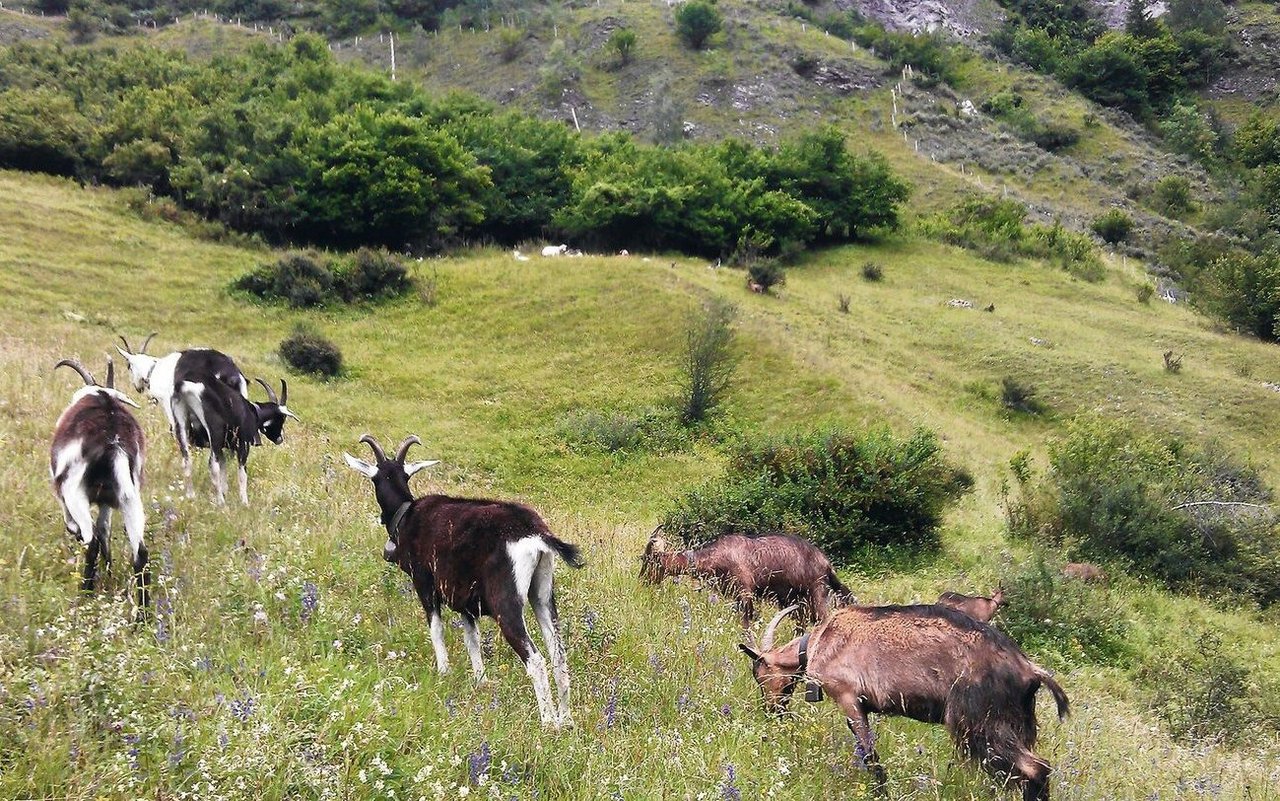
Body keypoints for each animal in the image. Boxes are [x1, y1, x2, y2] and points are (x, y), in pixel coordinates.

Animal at [50, 358, 149, 614]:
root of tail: (114, 443)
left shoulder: (64, 493)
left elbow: (79, 527)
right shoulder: (107, 501)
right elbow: (105, 529)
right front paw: (109, 569)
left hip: (75, 494)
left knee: (91, 539)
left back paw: (85, 593)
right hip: (130, 498)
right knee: (140, 553)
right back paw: (143, 617)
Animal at [345, 432, 586, 726]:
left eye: (374, 478)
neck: (407, 514)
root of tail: (535, 533)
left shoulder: (425, 584)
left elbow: (436, 629)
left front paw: (444, 672)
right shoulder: (465, 603)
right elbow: (472, 640)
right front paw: (480, 681)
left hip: (506, 604)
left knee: (536, 660)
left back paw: (548, 723)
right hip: (542, 594)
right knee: (558, 653)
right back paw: (566, 719)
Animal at [637, 527, 855, 632]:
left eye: (648, 560)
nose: (642, 580)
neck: (719, 555)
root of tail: (826, 564)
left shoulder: (745, 591)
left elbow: (748, 619)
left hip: (816, 593)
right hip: (795, 601)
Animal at [742, 601, 1070, 793]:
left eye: (759, 674)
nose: (771, 711)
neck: (817, 643)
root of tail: (1028, 669)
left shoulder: (849, 698)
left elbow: (871, 756)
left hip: (981, 721)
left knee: (1036, 769)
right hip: (1018, 723)